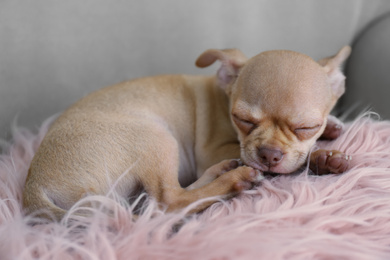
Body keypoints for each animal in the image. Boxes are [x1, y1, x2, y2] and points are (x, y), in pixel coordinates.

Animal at [22, 46, 350, 219]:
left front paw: (333, 128)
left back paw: (223, 172)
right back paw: (233, 179)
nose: (269, 154)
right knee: (168, 201)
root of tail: (33, 188)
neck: (224, 93)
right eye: (242, 119)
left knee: (177, 194)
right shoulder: (215, 149)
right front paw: (322, 156)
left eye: (306, 127)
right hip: (156, 137)